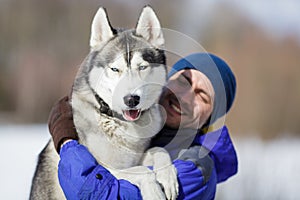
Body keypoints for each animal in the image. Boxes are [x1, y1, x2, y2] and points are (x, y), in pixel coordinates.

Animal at [30, 5, 178, 199]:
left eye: (142, 67)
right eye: (115, 69)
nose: (131, 99)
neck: (116, 122)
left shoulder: (135, 157)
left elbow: (159, 150)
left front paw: (167, 177)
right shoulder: (105, 168)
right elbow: (143, 171)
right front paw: (154, 192)